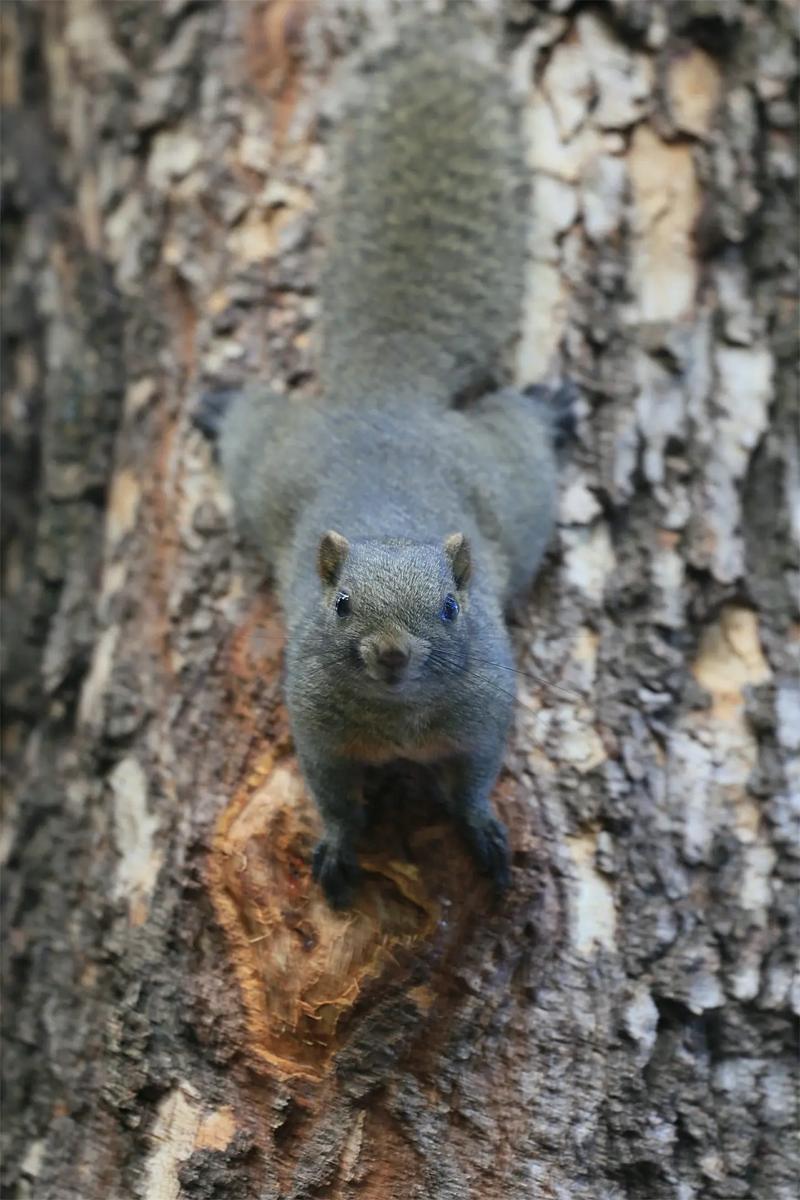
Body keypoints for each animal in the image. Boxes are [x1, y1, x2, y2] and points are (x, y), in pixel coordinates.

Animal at [201, 18, 575, 902]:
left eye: (450, 608)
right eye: (340, 607)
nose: (393, 654)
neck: (399, 717)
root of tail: (388, 401)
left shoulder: (484, 712)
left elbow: (473, 781)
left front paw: (482, 829)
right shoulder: (317, 730)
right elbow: (335, 797)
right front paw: (339, 846)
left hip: (512, 485)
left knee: (519, 438)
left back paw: (546, 410)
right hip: (271, 468)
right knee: (254, 430)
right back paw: (223, 408)